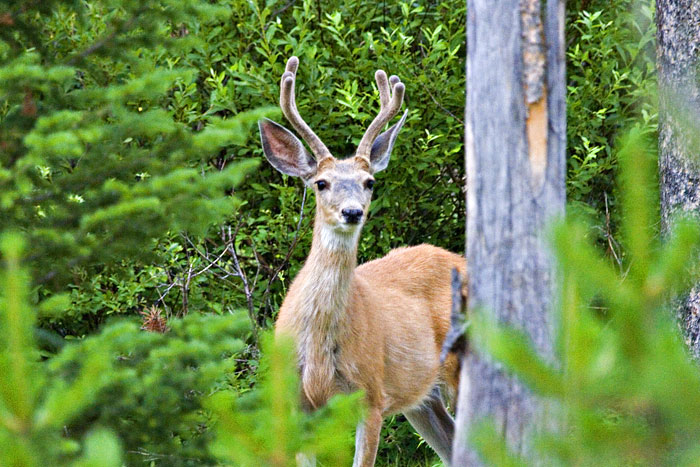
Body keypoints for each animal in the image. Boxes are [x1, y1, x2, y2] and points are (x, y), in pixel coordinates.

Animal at [258, 57, 464, 467]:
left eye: (369, 182)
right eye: (320, 183)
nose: (352, 212)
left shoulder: (370, 395)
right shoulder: (296, 401)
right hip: (423, 399)